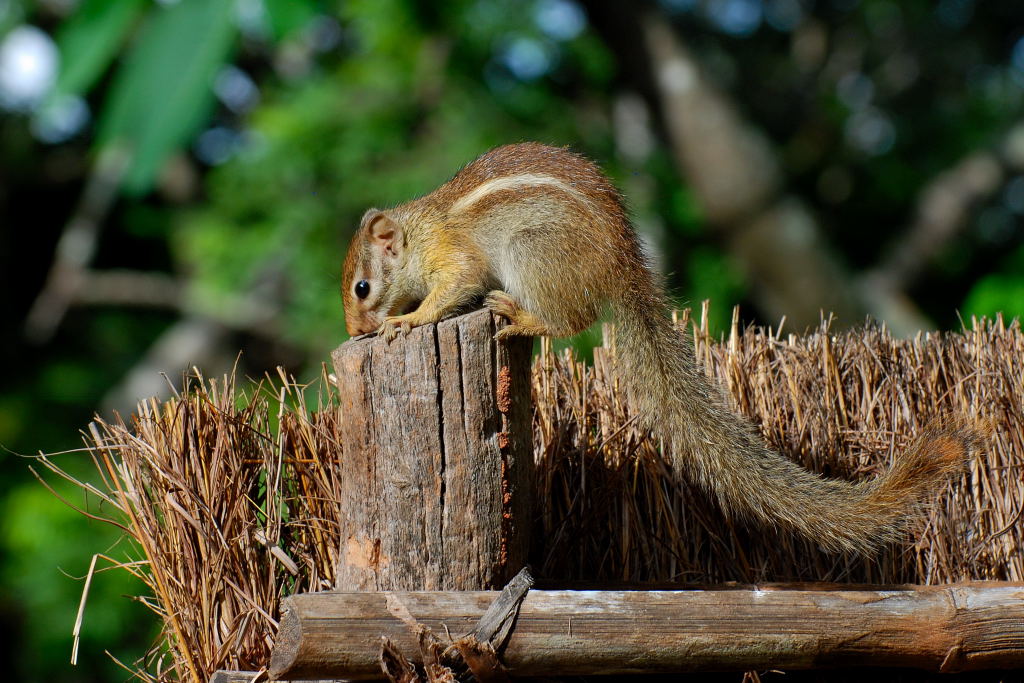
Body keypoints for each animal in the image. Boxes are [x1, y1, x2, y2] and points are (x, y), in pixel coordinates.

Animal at [339, 141, 978, 552]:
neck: (421, 230)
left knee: (569, 319)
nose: (355, 333)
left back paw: (518, 316)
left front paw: (409, 320)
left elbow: (452, 290)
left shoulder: (456, 260)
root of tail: (626, 267)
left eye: (362, 287)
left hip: (534, 253)